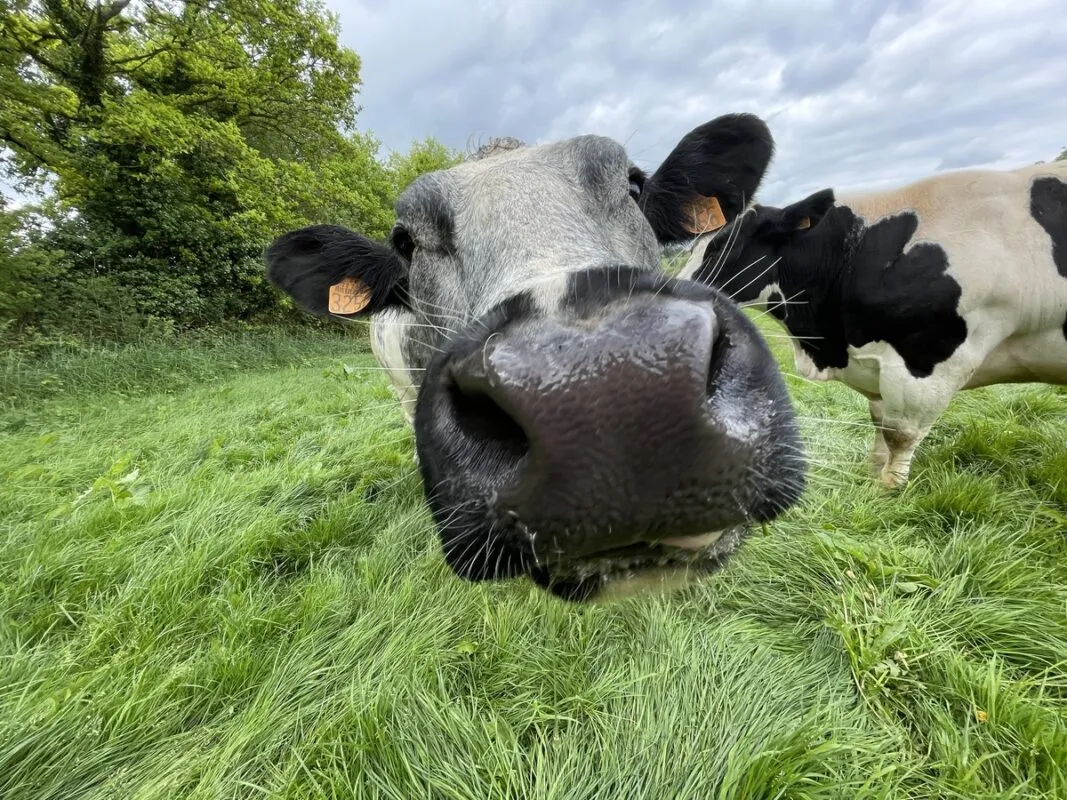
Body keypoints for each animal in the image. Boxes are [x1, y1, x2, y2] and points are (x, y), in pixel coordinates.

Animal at [681, 160, 1067, 489]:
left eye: (719, 245)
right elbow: (880, 425)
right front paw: (872, 479)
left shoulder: (929, 365)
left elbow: (900, 435)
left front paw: (889, 490)